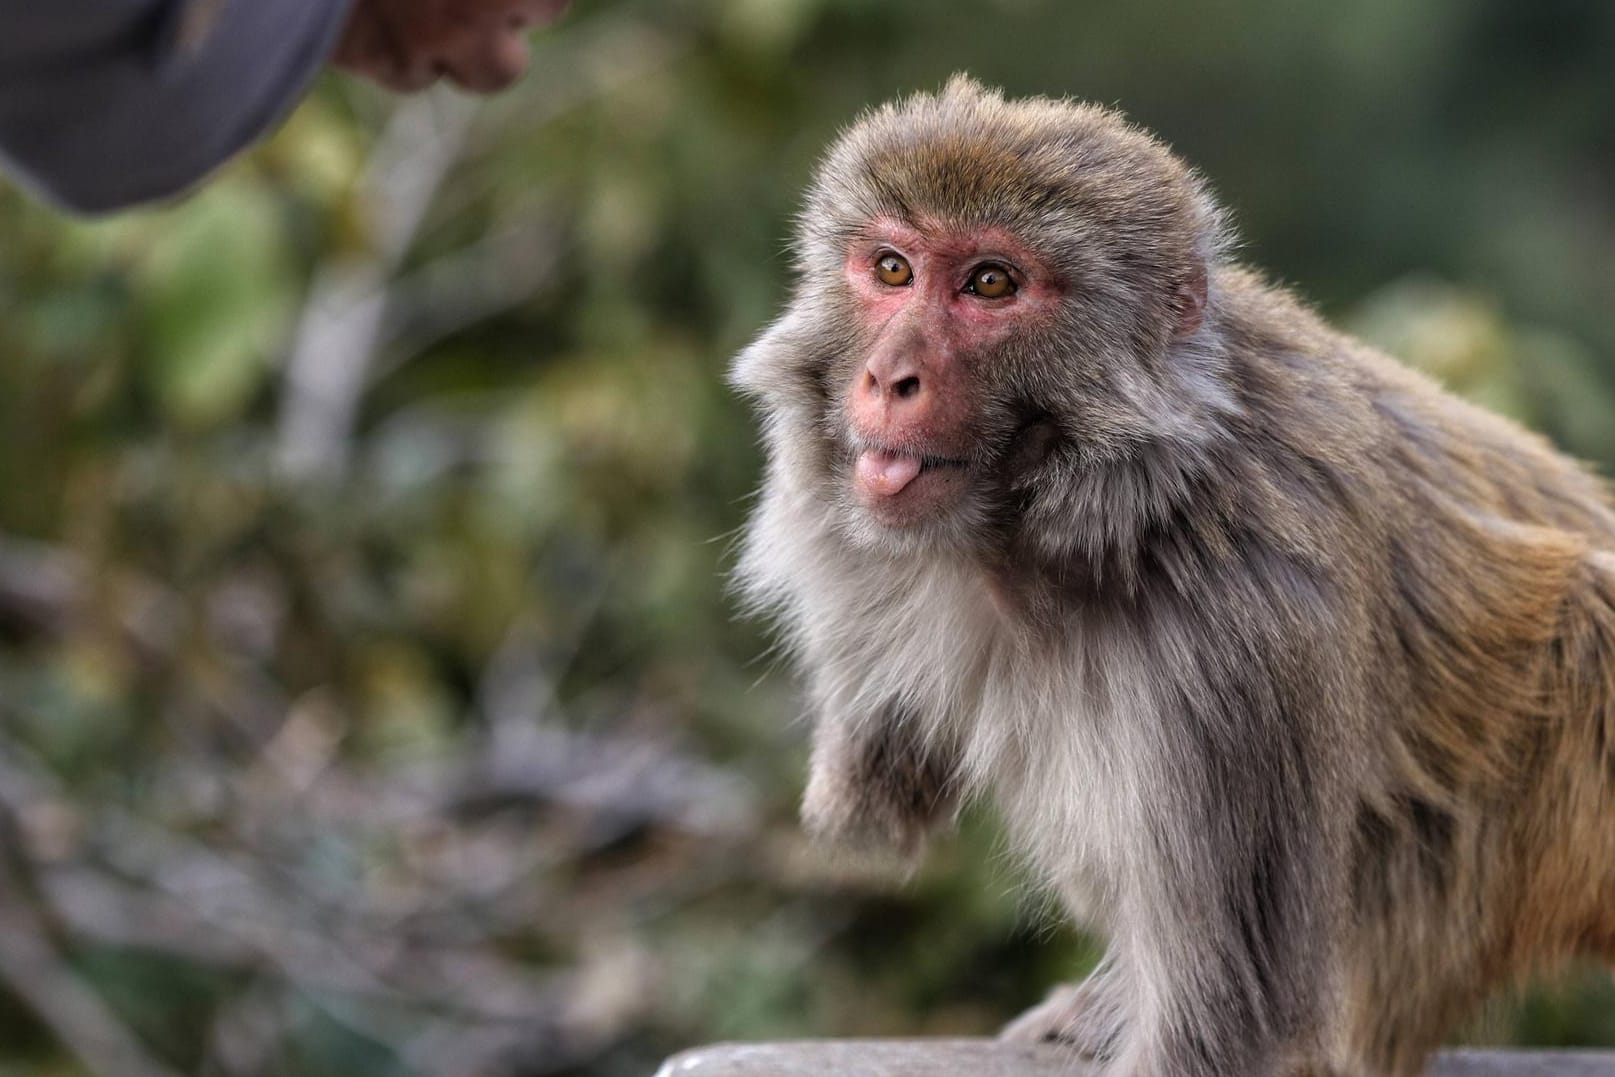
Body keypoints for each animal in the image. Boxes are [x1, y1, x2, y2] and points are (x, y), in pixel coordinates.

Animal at [733, 77, 1615, 1077]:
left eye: (990, 284)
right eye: (890, 269)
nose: (889, 378)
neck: (1110, 508)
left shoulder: (1245, 642)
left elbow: (1226, 1015)